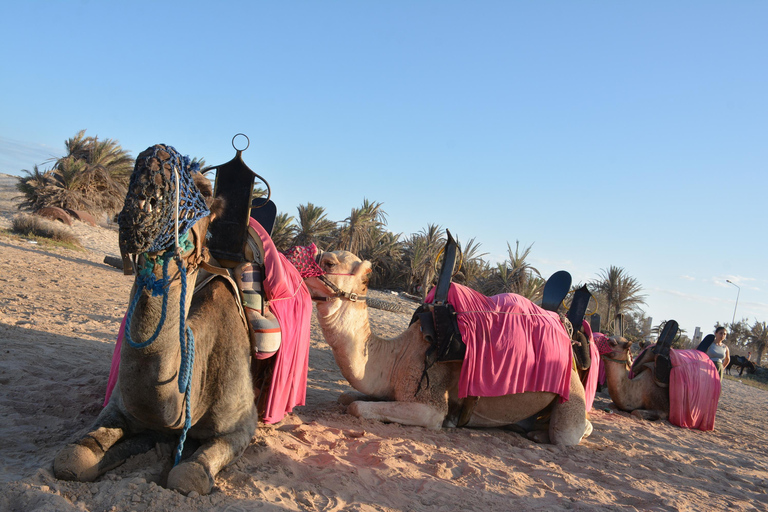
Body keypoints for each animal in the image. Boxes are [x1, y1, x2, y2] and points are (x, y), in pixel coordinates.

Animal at [54, 144, 258, 496]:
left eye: (205, 190)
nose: (156, 158)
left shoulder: (242, 424)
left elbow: (187, 475)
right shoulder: (120, 406)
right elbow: (73, 458)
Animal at [304, 250, 592, 446]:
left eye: (328, 263)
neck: (397, 354)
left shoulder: (430, 398)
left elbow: (356, 407)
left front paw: (450, 420)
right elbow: (346, 398)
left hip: (571, 388)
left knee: (569, 432)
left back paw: (539, 433)